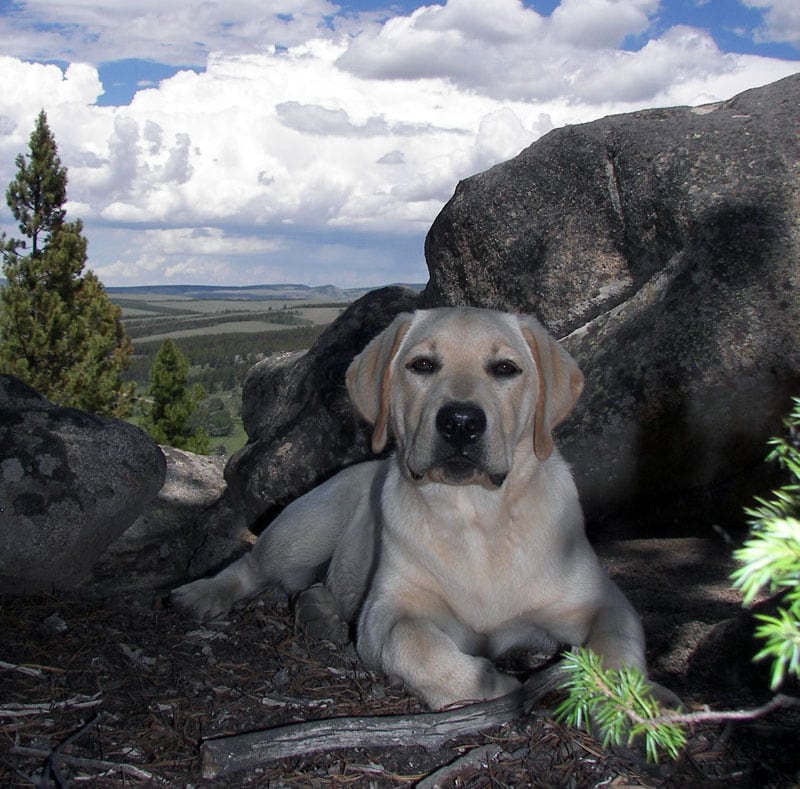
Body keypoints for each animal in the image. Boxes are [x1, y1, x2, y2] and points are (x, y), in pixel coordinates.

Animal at [172, 306, 648, 708]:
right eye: (422, 365)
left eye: (505, 369)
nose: (460, 422)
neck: (477, 518)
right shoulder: (391, 611)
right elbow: (415, 646)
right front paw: (491, 684)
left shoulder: (603, 602)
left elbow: (617, 651)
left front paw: (622, 703)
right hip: (304, 531)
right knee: (251, 565)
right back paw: (200, 594)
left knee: (316, 589)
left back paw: (319, 615)